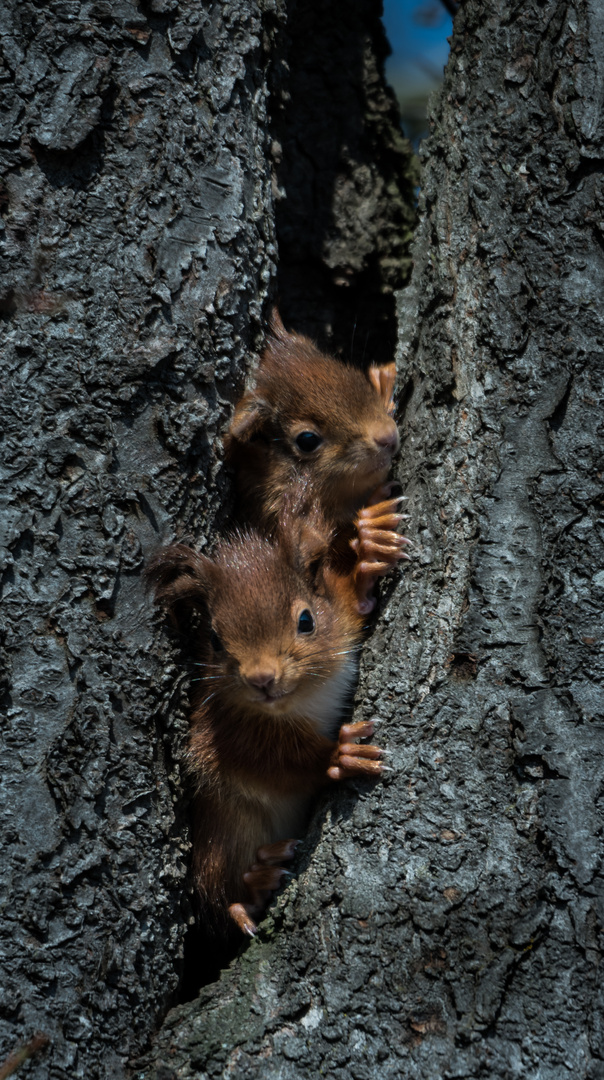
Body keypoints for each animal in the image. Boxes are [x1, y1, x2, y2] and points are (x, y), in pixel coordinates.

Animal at [145, 496, 406, 937]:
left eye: (306, 620)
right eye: (214, 640)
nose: (261, 679)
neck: (302, 700)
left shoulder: (340, 621)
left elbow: (350, 604)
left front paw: (370, 549)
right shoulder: (218, 730)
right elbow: (269, 762)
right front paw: (339, 755)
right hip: (221, 839)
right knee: (216, 894)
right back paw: (254, 889)